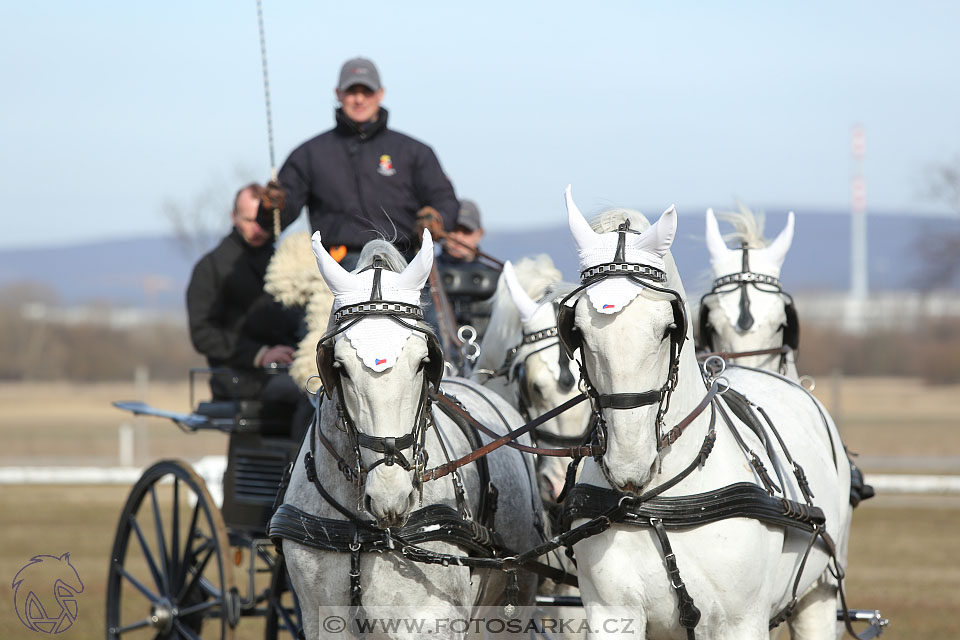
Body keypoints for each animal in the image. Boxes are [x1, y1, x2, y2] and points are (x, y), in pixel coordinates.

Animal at [276, 232, 548, 640]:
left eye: (424, 361)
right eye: (339, 365)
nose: (390, 497)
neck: (366, 533)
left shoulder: (428, 621)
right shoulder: (322, 619)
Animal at [560, 188, 852, 636]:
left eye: (669, 327)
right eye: (576, 330)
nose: (629, 461)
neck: (656, 502)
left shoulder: (741, 622)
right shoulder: (612, 613)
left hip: (818, 595)